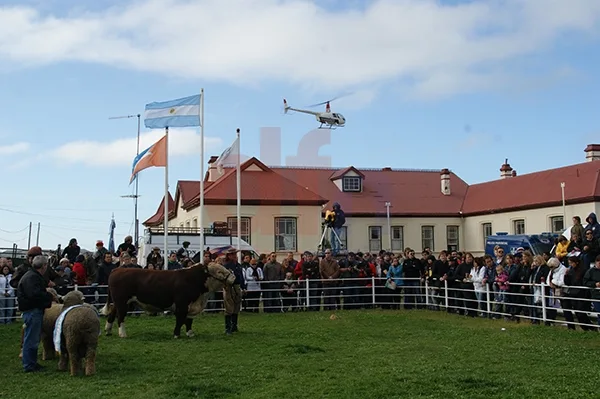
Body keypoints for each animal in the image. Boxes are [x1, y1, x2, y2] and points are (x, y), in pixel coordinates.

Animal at [101, 264, 234, 340]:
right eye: (219, 272)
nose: (233, 277)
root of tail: (116, 270)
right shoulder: (182, 305)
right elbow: (180, 320)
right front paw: (176, 335)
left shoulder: (191, 306)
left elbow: (189, 321)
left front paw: (190, 333)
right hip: (122, 302)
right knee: (120, 317)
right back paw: (122, 334)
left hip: (121, 303)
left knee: (112, 314)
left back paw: (108, 331)